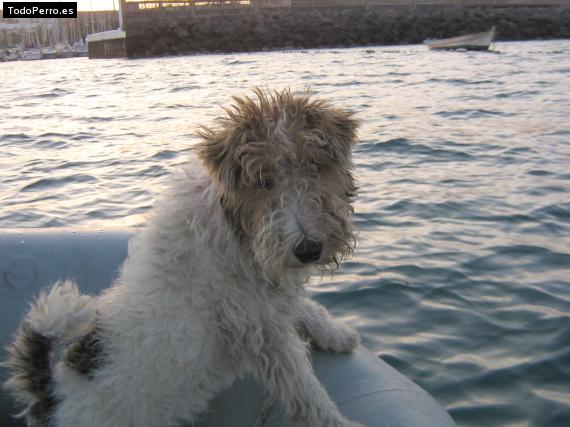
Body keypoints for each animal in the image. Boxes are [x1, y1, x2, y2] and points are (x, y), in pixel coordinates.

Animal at [4, 89, 364, 427]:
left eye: (316, 166)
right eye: (263, 180)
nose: (308, 249)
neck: (232, 226)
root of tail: (51, 395)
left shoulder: (265, 296)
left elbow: (307, 307)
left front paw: (336, 334)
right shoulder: (263, 331)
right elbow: (305, 392)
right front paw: (339, 422)